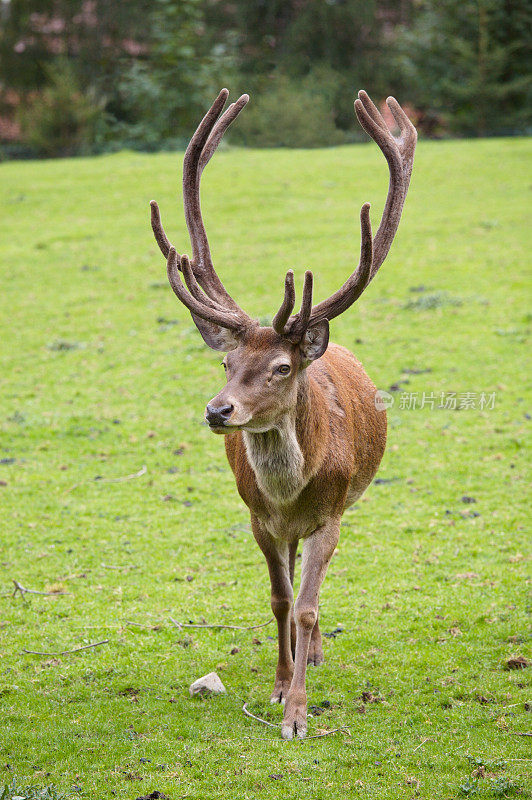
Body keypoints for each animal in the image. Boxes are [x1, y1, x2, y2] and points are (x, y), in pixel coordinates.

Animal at [150, 87, 416, 736]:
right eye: (226, 362)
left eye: (281, 368)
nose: (219, 411)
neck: (290, 493)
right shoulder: (257, 518)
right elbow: (278, 599)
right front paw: (276, 688)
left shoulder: (329, 516)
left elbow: (308, 607)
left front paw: (297, 713)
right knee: (291, 586)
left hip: (342, 508)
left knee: (312, 597)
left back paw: (313, 655)